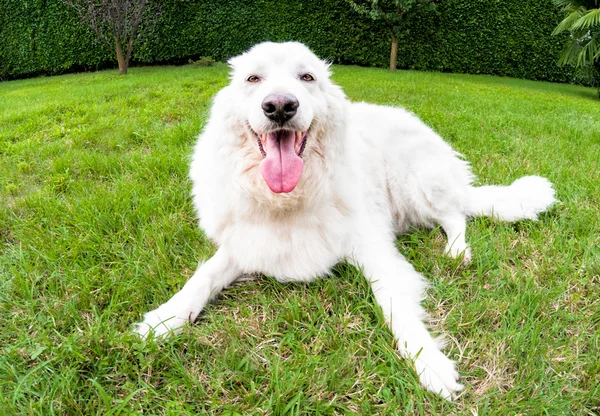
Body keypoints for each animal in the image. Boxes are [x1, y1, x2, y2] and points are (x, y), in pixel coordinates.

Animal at [135, 42, 552, 400]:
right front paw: (164, 319)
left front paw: (429, 364)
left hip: (415, 181)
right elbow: (204, 276)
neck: (289, 199)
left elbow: (396, 307)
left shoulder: (375, 251)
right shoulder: (247, 242)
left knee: (455, 215)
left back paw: (456, 251)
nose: (280, 106)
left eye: (307, 77)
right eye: (253, 79)